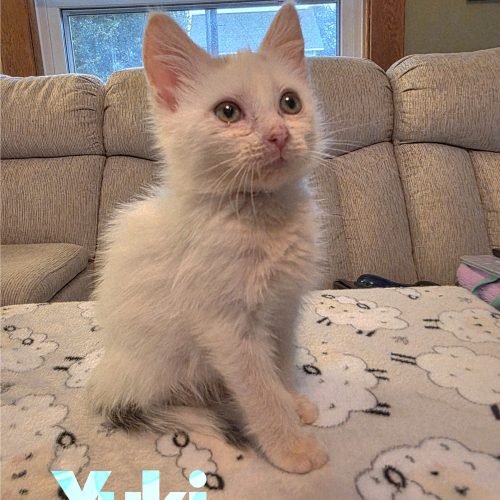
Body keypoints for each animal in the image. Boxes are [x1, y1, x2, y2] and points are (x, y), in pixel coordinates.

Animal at [88, 3, 328, 474]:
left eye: (290, 102)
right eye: (228, 112)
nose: (278, 134)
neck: (261, 218)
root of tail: (106, 378)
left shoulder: (283, 307)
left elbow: (281, 360)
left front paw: (292, 400)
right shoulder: (227, 326)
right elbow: (259, 390)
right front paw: (290, 444)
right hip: (162, 363)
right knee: (158, 400)